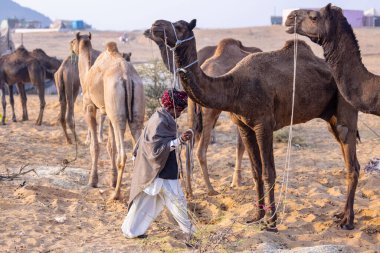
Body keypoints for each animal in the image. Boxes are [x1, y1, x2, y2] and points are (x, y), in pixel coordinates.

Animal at [76, 33, 145, 201]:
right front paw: (112, 181)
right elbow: (111, 146)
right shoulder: (108, 111)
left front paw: (93, 181)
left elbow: (95, 146)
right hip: (134, 111)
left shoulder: (89, 106)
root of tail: (127, 77)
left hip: (116, 113)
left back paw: (116, 195)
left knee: (123, 155)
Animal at [144, 29, 262, 196]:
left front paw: (237, 181)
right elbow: (242, 144)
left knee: (189, 146)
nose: (148, 31)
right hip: (209, 112)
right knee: (200, 150)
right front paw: (238, 181)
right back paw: (210, 189)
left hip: (193, 109)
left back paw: (190, 190)